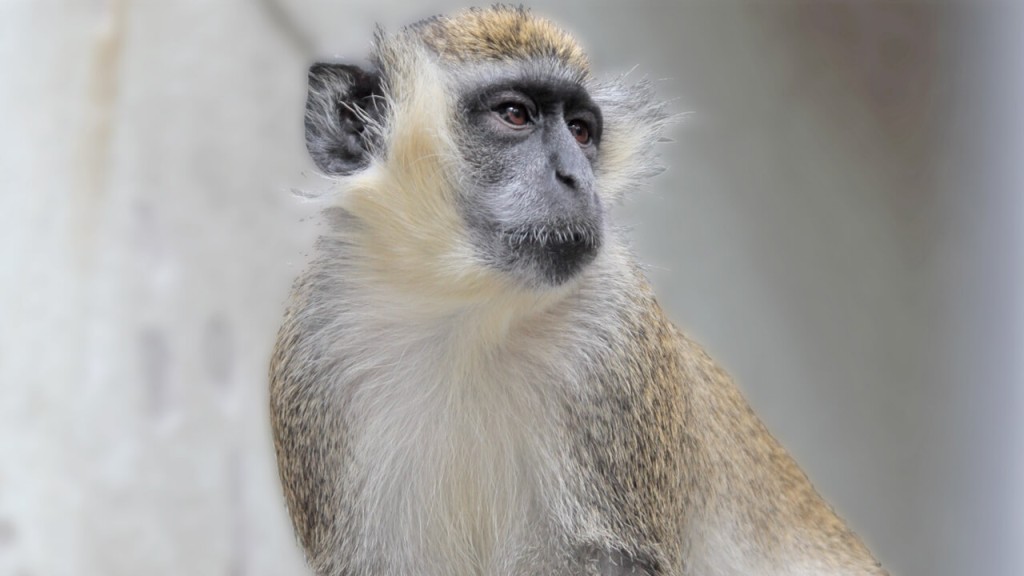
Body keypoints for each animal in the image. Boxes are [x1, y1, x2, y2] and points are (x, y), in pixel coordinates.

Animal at [272, 5, 888, 573]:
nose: (577, 178)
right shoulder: (316, 351)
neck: (466, 315)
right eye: (515, 115)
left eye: (580, 131)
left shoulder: (616, 336)